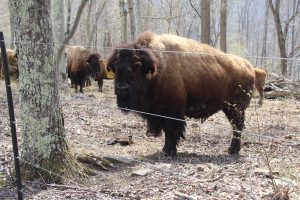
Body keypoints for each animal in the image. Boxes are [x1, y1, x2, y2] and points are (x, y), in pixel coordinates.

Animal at [106, 31, 254, 157]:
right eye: (116, 64)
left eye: (137, 65)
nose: (122, 89)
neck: (156, 69)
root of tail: (249, 67)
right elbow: (167, 130)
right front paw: (166, 150)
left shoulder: (172, 111)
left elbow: (171, 130)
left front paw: (168, 152)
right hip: (228, 108)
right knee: (236, 126)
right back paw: (232, 150)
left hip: (235, 108)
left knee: (237, 126)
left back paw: (232, 150)